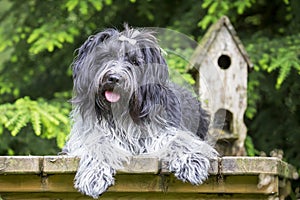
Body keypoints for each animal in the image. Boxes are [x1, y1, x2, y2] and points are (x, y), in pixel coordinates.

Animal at [62, 25, 218, 198]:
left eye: (135, 62)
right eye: (106, 56)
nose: (114, 78)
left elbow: (178, 140)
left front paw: (191, 162)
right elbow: (98, 143)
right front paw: (94, 176)